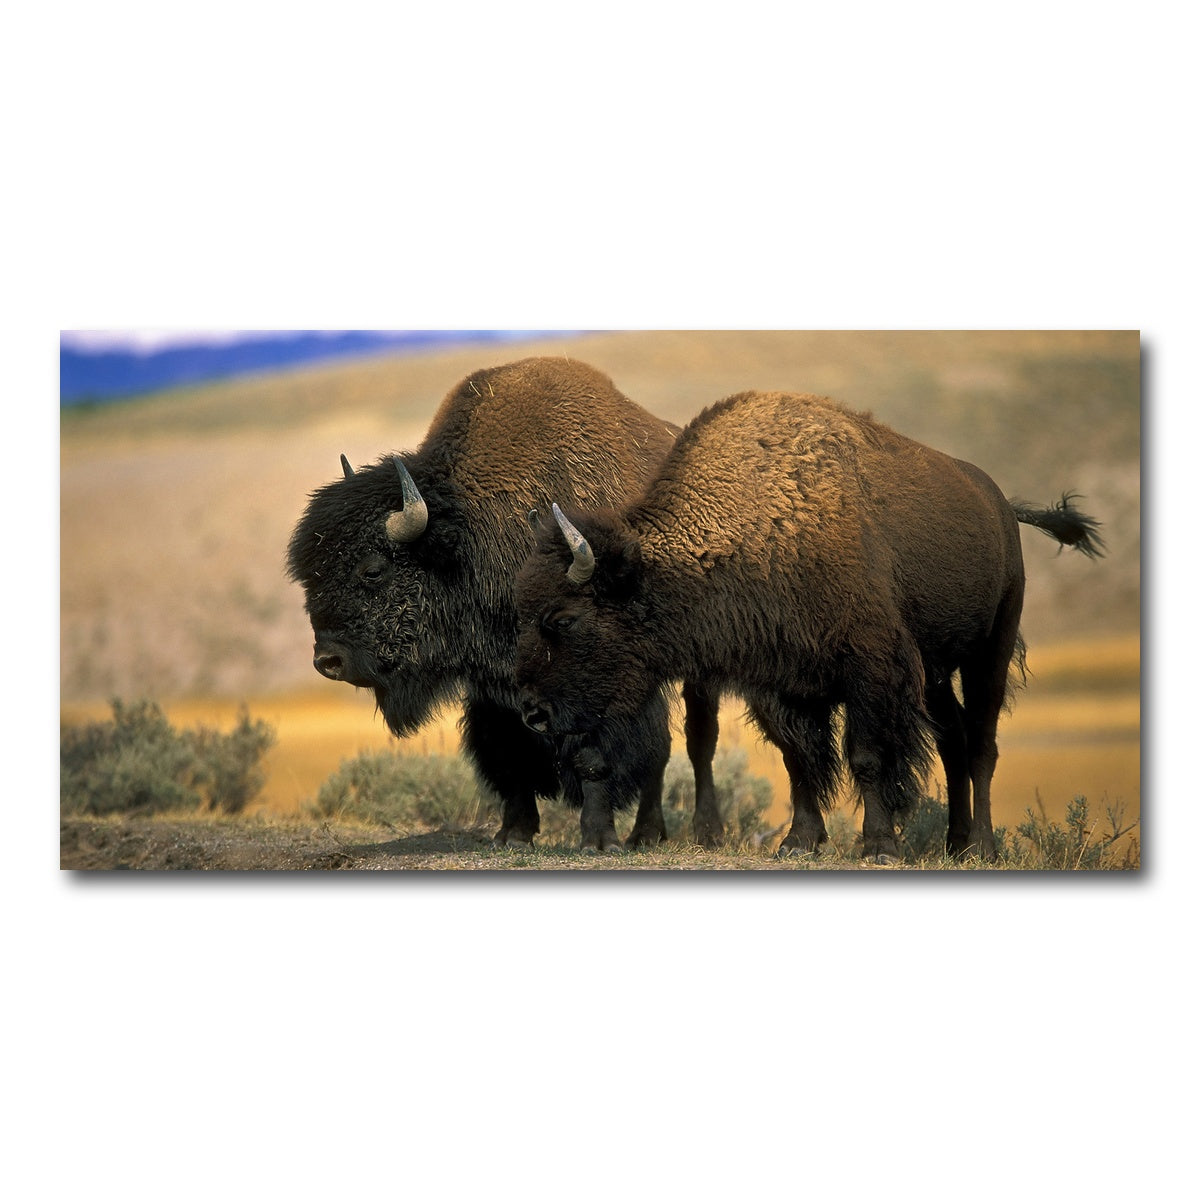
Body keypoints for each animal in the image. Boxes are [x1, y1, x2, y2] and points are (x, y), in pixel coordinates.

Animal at [286, 357, 722, 850]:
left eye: (373, 570)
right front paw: (514, 833)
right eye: (310, 575)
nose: (328, 660)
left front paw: (598, 839)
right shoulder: (493, 687)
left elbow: (596, 755)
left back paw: (684, 833)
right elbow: (509, 753)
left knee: (694, 740)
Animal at [514, 389, 1104, 862]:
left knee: (982, 742)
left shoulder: (871, 671)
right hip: (935, 672)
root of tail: (1001, 503)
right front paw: (798, 841)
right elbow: (799, 759)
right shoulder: (783, 684)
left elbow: (866, 756)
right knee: (954, 739)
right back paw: (955, 845)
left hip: (990, 650)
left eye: (564, 618)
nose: (532, 712)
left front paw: (879, 846)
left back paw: (981, 845)